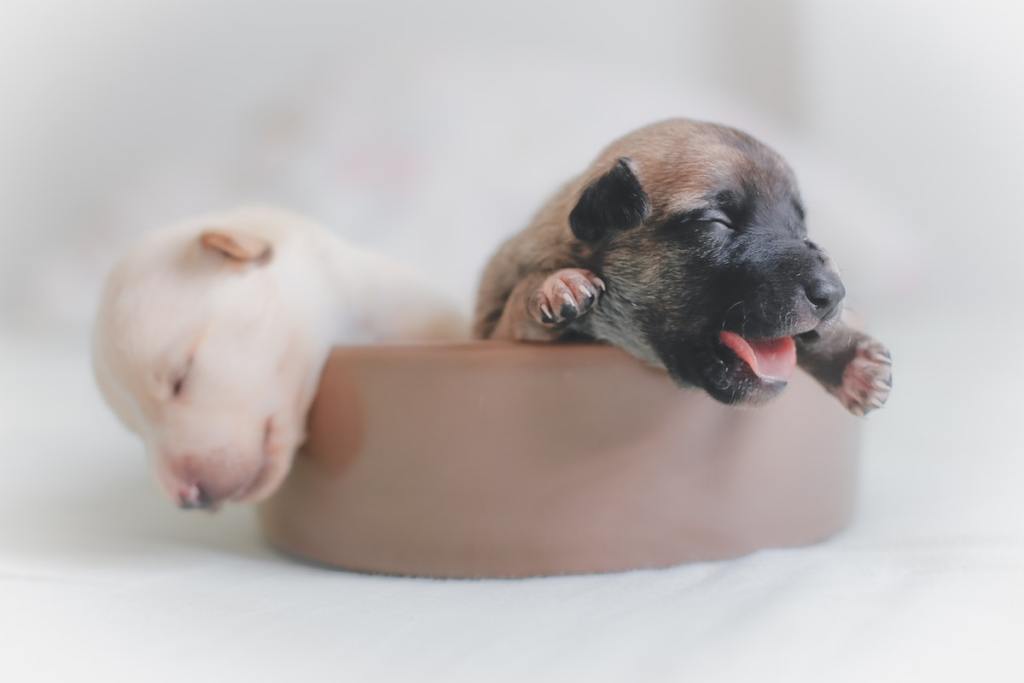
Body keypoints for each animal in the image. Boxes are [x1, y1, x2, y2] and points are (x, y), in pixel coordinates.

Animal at [475, 119, 892, 413]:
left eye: (800, 228)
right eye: (717, 223)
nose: (834, 293)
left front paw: (845, 355)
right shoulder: (496, 332)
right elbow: (518, 305)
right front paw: (555, 285)